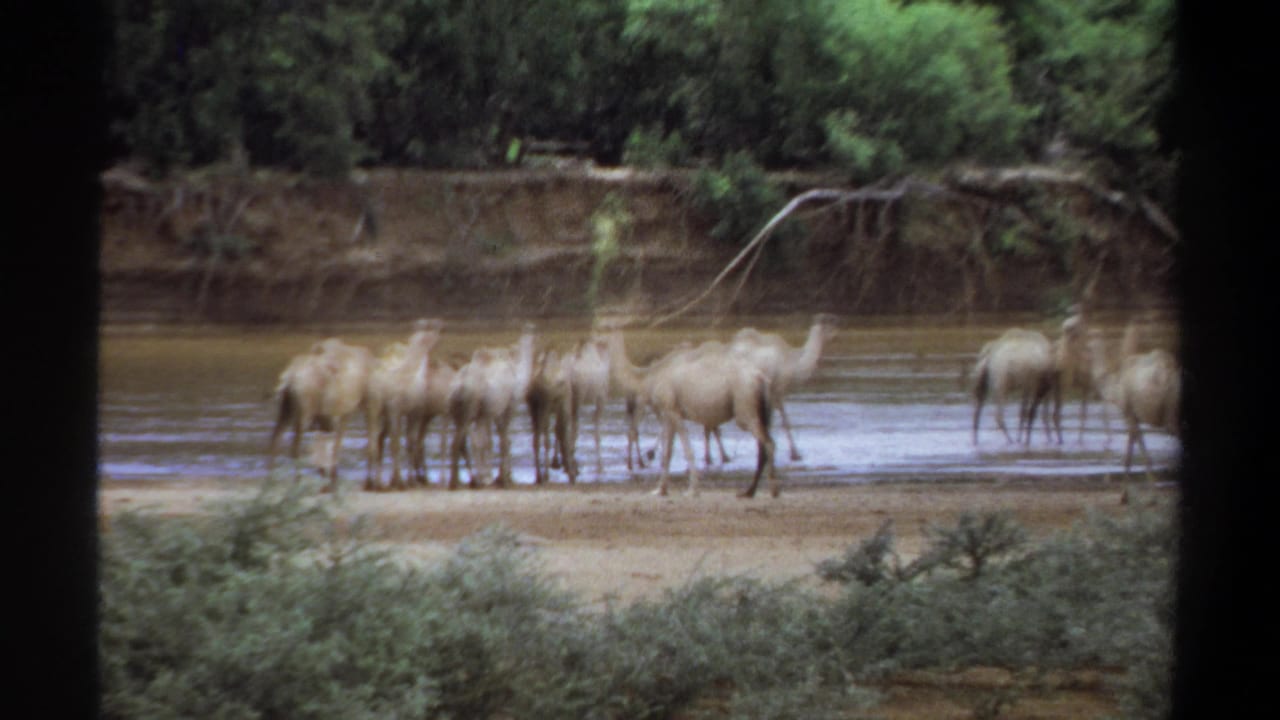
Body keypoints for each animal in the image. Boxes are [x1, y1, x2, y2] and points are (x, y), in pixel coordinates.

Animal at [267, 336, 373, 491]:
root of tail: (288, 380)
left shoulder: (328, 416)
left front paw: (325, 474)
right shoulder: (344, 412)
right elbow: (335, 444)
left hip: (286, 409)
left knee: (275, 437)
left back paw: (270, 480)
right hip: (304, 412)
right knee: (294, 446)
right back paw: (297, 481)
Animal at [364, 320, 444, 490]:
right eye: (431, 334)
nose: (438, 341)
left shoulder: (413, 413)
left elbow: (410, 443)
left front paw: (409, 481)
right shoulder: (396, 410)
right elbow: (396, 444)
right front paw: (399, 482)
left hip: (385, 414)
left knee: (379, 440)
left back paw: (378, 481)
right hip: (374, 409)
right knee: (373, 442)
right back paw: (373, 483)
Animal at [446, 323, 537, 489]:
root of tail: (459, 386)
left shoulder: (488, 413)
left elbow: (490, 441)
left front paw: (497, 477)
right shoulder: (508, 406)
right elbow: (502, 440)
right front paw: (503, 478)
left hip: (457, 411)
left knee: (463, 442)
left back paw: (465, 480)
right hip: (470, 411)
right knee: (468, 441)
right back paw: (471, 481)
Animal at [730, 313, 838, 460]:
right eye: (829, 326)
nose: (836, 336)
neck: (794, 363)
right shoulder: (777, 391)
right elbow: (784, 420)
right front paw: (795, 454)